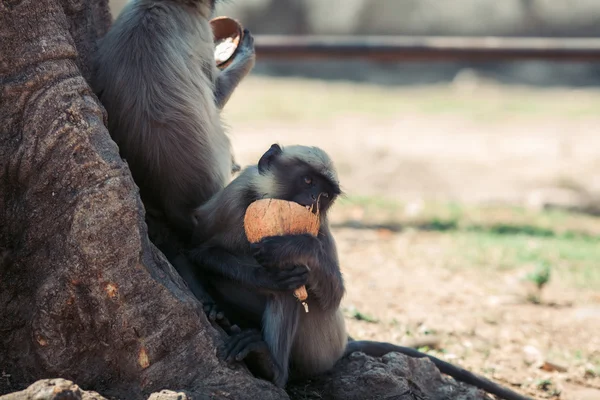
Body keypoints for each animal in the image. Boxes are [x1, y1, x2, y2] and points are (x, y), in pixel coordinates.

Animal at [190, 144, 532, 400]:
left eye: (325, 195)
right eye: (308, 182)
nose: (313, 200)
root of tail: (342, 345)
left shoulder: (318, 226)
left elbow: (333, 296)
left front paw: (294, 246)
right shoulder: (234, 195)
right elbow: (197, 249)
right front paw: (256, 278)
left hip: (319, 346)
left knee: (291, 294)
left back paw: (271, 368)